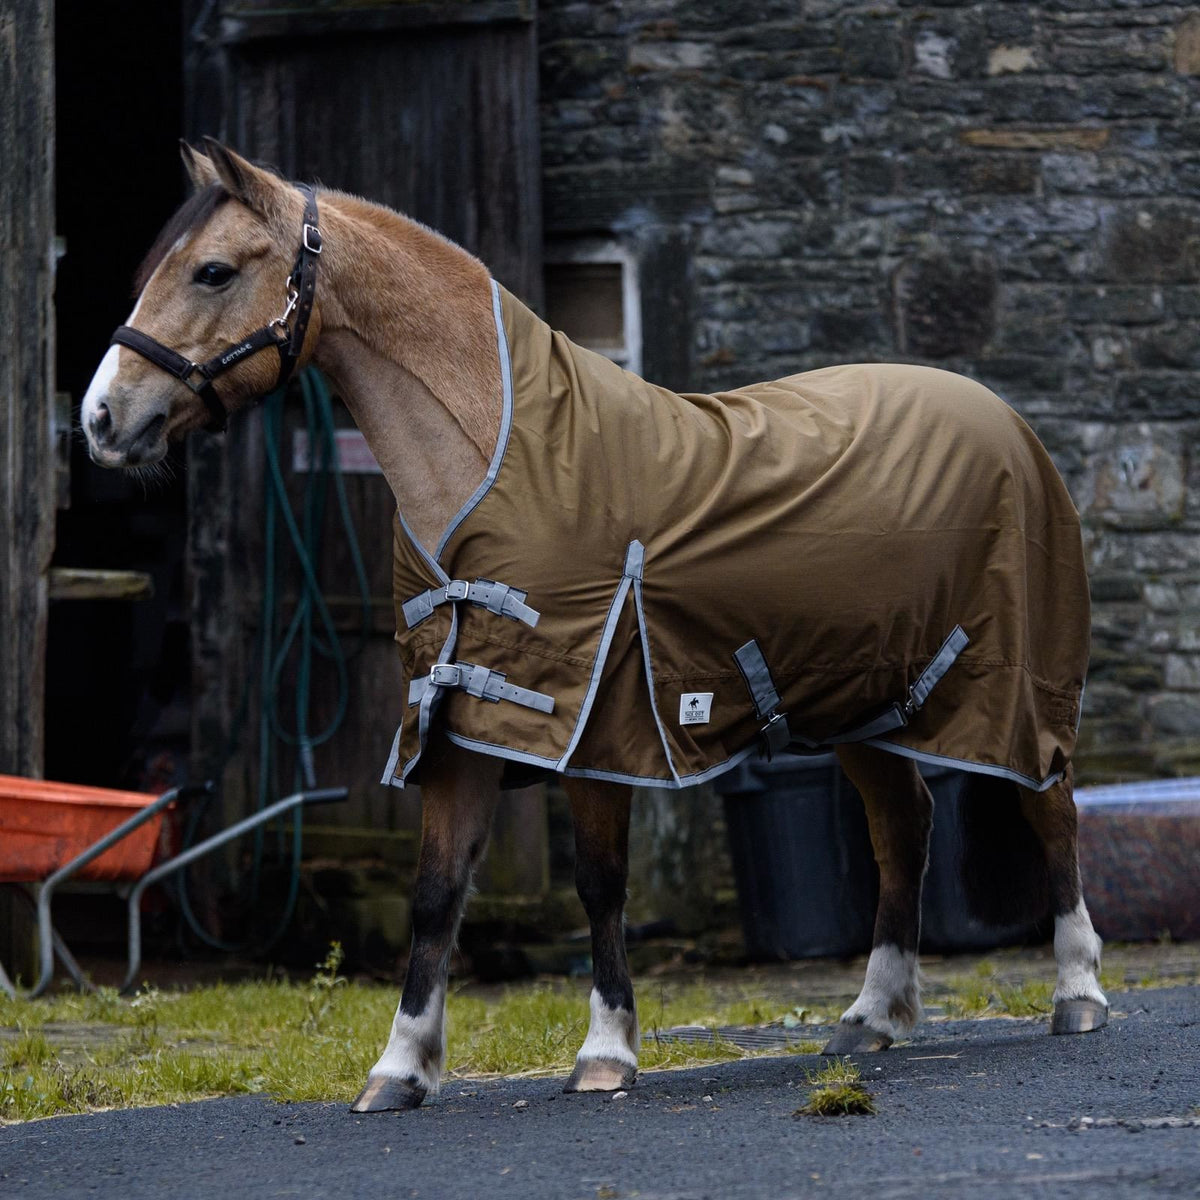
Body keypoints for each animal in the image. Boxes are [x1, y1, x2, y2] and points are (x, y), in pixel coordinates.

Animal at [81, 139, 1108, 1113]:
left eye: (213, 271)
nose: (100, 419)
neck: (498, 457)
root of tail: (1001, 415)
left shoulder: (594, 725)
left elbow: (600, 884)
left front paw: (607, 1052)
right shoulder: (456, 720)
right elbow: (434, 896)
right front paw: (401, 1069)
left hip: (1013, 690)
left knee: (1049, 806)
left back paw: (1077, 993)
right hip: (860, 699)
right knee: (905, 827)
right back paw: (873, 1017)